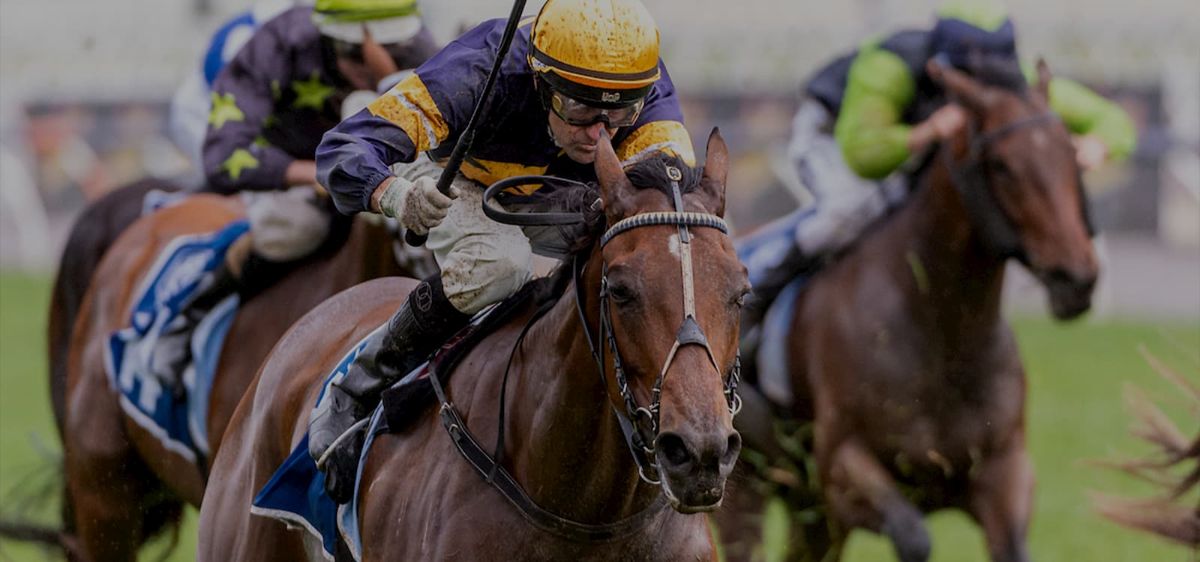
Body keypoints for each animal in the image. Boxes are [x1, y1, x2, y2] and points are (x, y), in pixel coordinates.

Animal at [715, 59, 1100, 562]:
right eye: (1002, 164)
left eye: (1071, 155)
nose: (1076, 277)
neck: (943, 338)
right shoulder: (842, 467)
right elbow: (914, 537)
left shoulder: (1004, 470)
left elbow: (1012, 545)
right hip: (747, 486)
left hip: (808, 504)